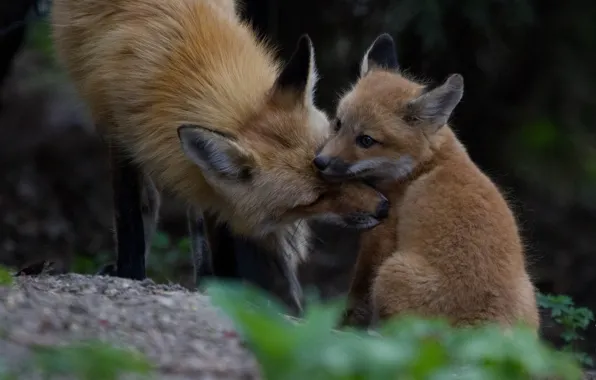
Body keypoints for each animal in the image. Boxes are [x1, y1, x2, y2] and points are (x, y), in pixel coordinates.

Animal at [50, 0, 386, 310]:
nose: (383, 208)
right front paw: (130, 274)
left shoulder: (212, 185)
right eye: (315, 198)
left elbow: (219, 231)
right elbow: (130, 217)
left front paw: (229, 290)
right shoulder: (119, 130)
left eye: (336, 162)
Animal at [314, 34, 536, 332]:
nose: (320, 162)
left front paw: (340, 327)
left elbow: (356, 296)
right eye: (338, 124)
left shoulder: (380, 234)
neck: (423, 166)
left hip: (392, 272)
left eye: (366, 140)